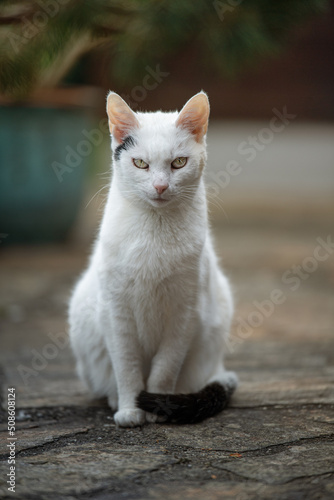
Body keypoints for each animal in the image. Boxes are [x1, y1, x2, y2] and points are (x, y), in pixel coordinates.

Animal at [68, 90, 237, 426]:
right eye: (141, 163)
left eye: (179, 163)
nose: (160, 186)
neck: (155, 232)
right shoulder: (116, 311)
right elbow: (127, 366)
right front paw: (130, 409)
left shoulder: (185, 313)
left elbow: (165, 367)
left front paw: (159, 407)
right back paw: (113, 398)